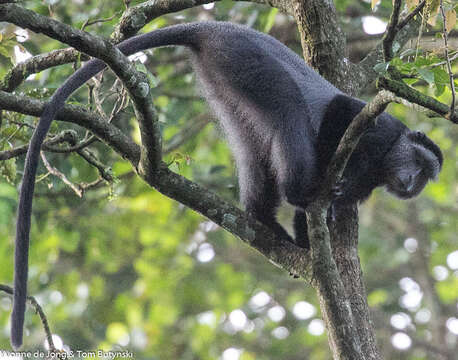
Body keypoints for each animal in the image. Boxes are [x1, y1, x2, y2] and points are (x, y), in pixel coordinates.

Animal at [10, 21, 442, 348]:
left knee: (254, 149)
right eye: (421, 165)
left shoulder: (367, 182)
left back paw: (261, 218)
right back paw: (296, 188)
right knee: (288, 111)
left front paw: (310, 239)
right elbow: (339, 115)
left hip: (225, 79)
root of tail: (216, 28)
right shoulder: (379, 129)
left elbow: (316, 215)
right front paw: (314, 193)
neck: (383, 164)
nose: (411, 184)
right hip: (248, 63)